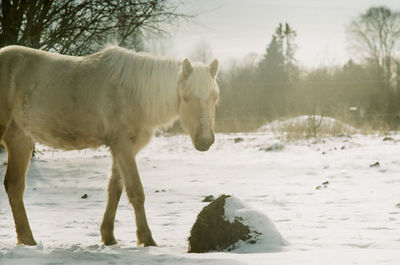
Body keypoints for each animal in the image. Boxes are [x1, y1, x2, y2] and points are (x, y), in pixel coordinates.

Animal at [0, 44, 219, 245]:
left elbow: (115, 189)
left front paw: (108, 236)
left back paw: (28, 239)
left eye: (214, 97)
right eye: (186, 97)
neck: (134, 93)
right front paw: (147, 240)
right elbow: (136, 191)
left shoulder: (125, 148)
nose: (205, 141)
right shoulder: (122, 145)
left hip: (21, 140)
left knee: (14, 186)